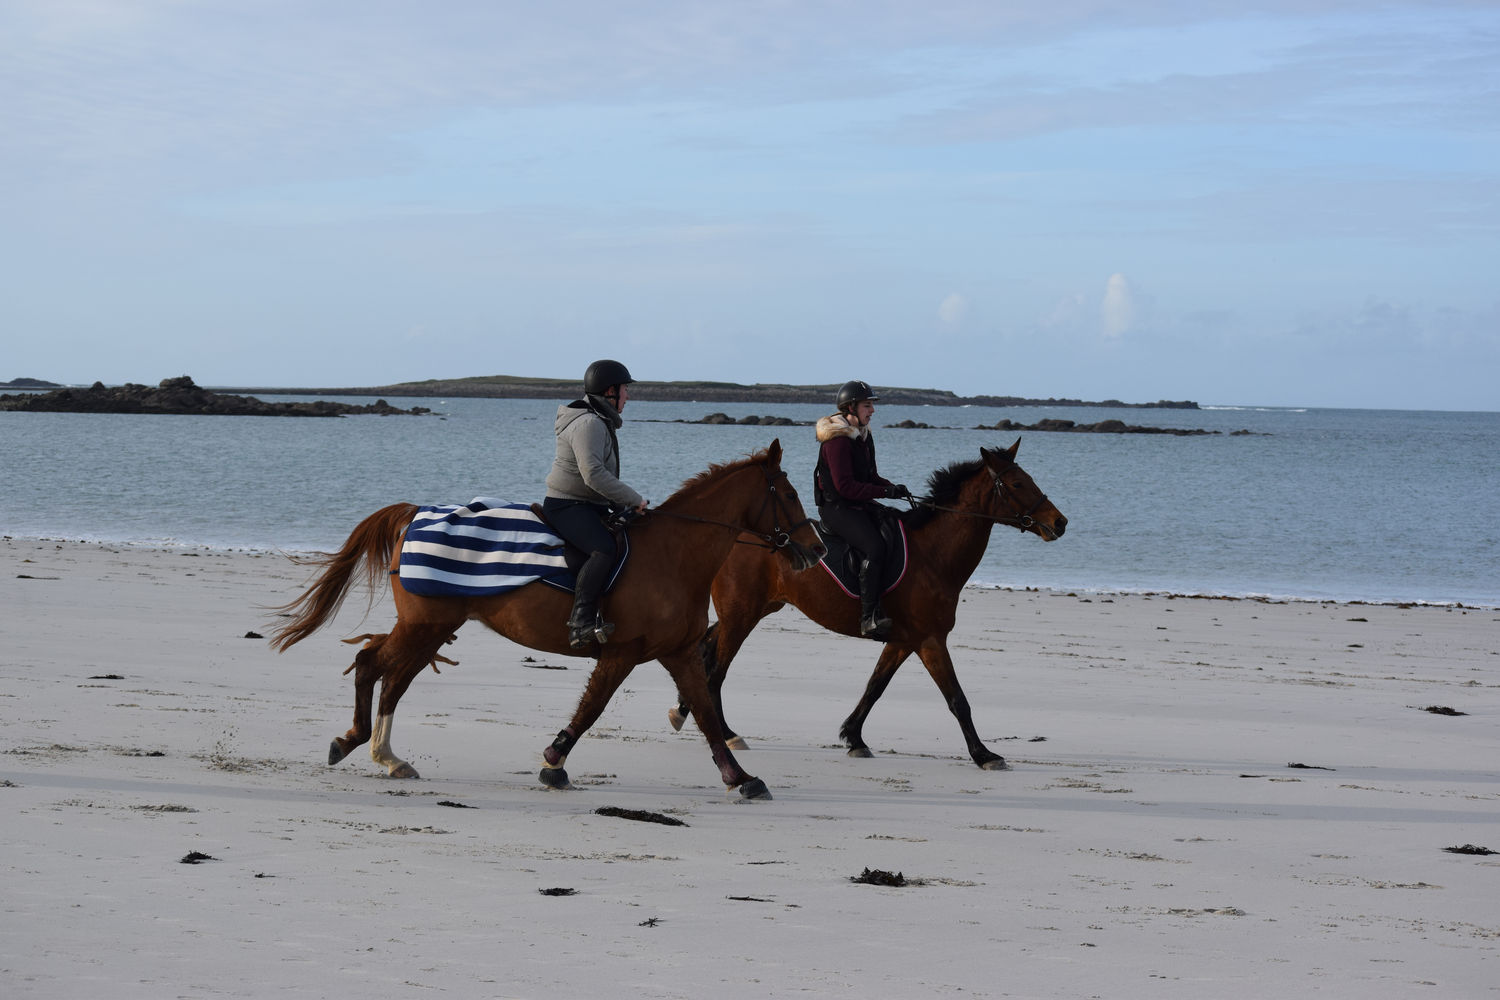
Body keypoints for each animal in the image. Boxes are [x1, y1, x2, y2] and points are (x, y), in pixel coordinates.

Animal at [276, 440, 828, 803]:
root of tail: (415, 514)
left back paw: (384, 755)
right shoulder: (622, 652)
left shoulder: (679, 653)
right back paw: (360, 745)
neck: (675, 555)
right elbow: (593, 708)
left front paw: (742, 778)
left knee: (391, 677)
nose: (818, 549)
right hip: (424, 628)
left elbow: (708, 715)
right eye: (790, 493)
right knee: (374, 665)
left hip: (428, 630)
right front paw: (554, 762)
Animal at [669, 434, 1068, 773]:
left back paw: (684, 711)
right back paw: (727, 734)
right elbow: (957, 699)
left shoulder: (903, 640)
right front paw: (984, 754)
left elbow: (875, 687)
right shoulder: (930, 640)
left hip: (754, 610)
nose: (1060, 522)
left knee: (705, 652)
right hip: (742, 615)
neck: (934, 553)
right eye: (1017, 485)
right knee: (715, 671)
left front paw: (854, 737)